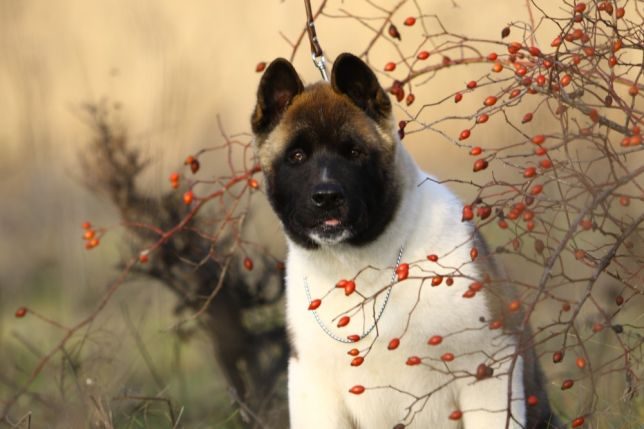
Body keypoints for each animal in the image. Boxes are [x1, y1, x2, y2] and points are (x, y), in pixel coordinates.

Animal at [252, 53, 560, 428]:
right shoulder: (315, 396)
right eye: (296, 156)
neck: (359, 268)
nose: (326, 197)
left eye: (354, 152)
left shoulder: (488, 370)